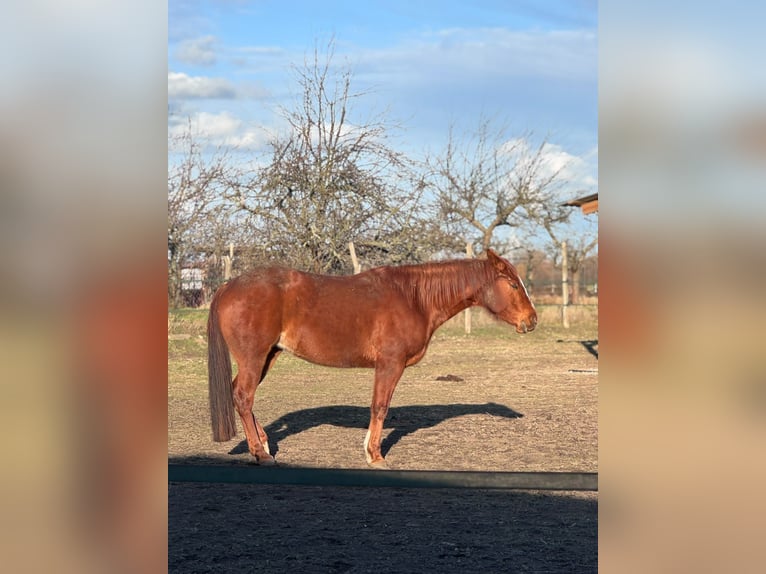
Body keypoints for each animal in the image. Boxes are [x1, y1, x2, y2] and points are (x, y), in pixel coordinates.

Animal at [207, 248, 537, 468]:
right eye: (512, 284)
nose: (532, 320)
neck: (414, 298)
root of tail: (227, 286)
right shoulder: (390, 364)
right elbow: (380, 407)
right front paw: (375, 455)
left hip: (268, 356)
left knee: (241, 395)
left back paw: (263, 443)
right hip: (255, 358)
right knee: (243, 396)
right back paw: (261, 453)